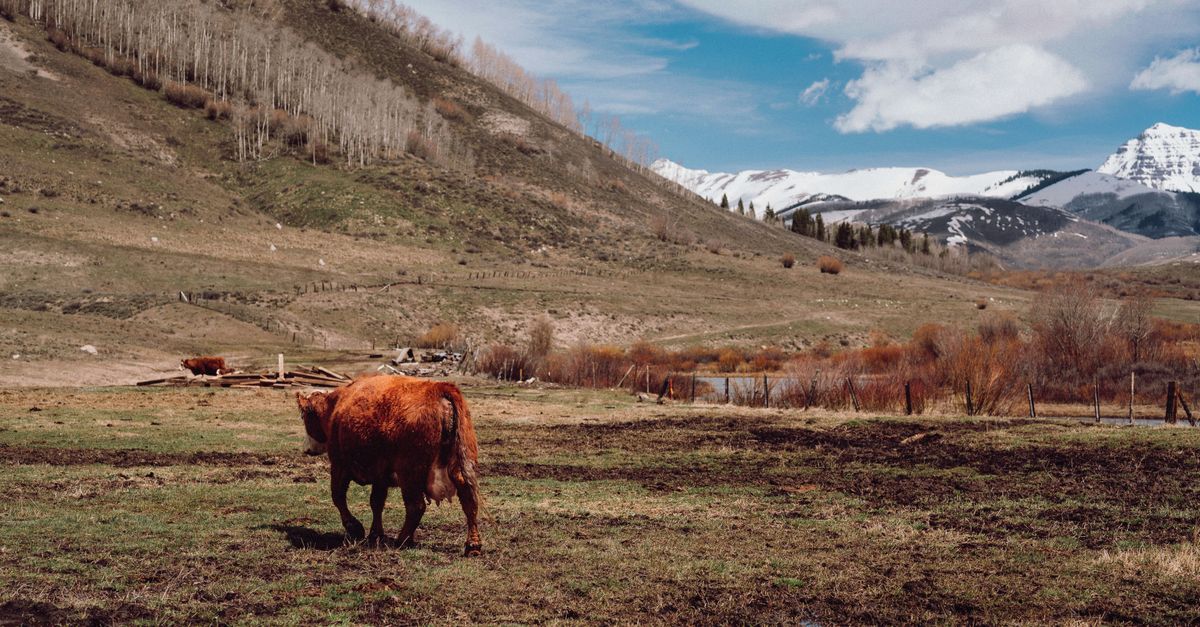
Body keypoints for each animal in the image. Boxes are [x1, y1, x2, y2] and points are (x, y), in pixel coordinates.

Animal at [295, 375, 483, 556]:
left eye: (305, 417)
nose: (306, 449)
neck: (336, 406)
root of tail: (439, 388)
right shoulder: (380, 475)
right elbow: (376, 502)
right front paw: (375, 534)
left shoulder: (339, 465)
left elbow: (338, 496)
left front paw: (355, 528)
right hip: (460, 466)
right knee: (469, 500)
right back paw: (472, 545)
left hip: (409, 473)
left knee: (416, 506)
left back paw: (402, 540)